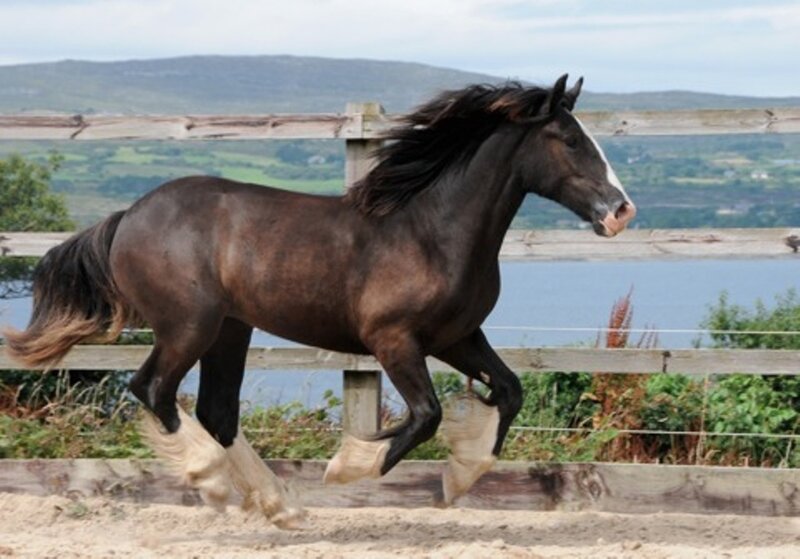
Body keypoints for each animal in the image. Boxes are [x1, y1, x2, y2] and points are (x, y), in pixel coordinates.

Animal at [3, 74, 635, 527]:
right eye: (570, 140)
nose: (621, 212)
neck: (430, 231)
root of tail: (128, 216)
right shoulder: (392, 339)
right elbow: (425, 415)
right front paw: (348, 467)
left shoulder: (458, 337)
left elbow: (508, 390)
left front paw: (460, 477)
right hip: (188, 326)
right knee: (153, 389)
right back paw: (214, 482)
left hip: (231, 329)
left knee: (216, 412)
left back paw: (280, 506)